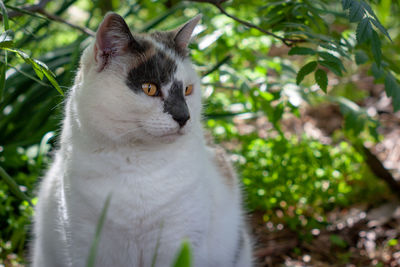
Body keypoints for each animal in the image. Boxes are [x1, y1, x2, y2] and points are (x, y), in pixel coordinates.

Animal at [31, 12, 252, 267]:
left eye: (188, 90)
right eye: (149, 88)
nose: (184, 116)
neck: (139, 165)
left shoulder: (179, 241)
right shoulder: (85, 243)